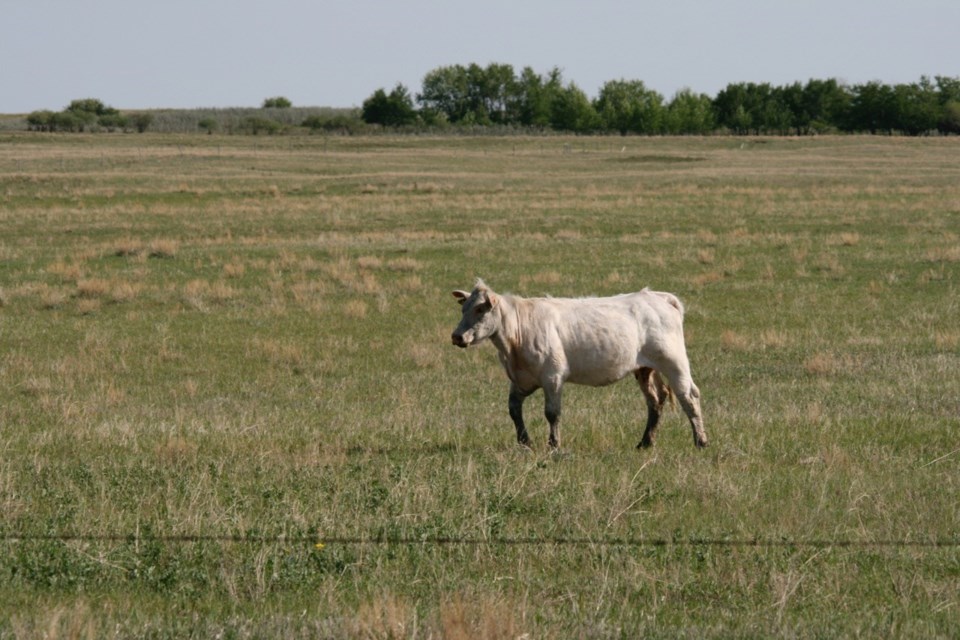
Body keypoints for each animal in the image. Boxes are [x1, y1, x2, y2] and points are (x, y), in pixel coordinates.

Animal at [450, 280, 704, 450]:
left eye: (480, 309)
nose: (457, 336)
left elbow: (552, 413)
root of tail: (658, 296)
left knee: (689, 398)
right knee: (656, 399)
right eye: (463, 308)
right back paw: (645, 443)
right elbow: (513, 409)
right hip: (645, 369)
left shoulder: (553, 377)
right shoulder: (521, 379)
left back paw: (700, 441)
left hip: (674, 362)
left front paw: (554, 446)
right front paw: (525, 443)